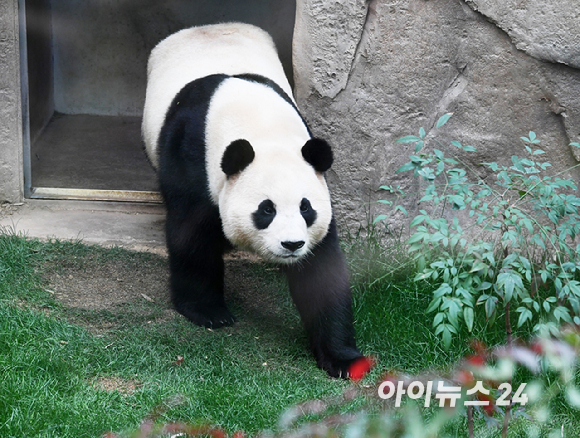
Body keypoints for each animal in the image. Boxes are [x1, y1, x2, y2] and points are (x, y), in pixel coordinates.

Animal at [142, 23, 362, 376]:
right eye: (266, 209)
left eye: (306, 208)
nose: (292, 245)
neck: (263, 128)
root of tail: (205, 28)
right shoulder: (192, 156)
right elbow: (190, 234)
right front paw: (208, 311)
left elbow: (322, 271)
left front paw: (342, 358)